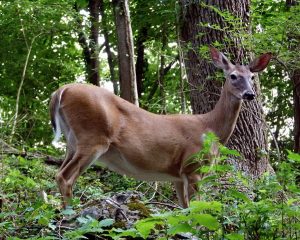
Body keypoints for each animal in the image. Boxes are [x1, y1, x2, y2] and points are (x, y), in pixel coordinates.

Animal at [49, 47, 272, 208]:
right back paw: (70, 214)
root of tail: (62, 90)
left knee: (60, 172)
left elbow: (184, 209)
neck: (211, 129)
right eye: (233, 76)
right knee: (64, 176)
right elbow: (197, 207)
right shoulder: (193, 166)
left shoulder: (178, 176)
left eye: (252, 77)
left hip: (73, 142)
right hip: (93, 138)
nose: (250, 94)